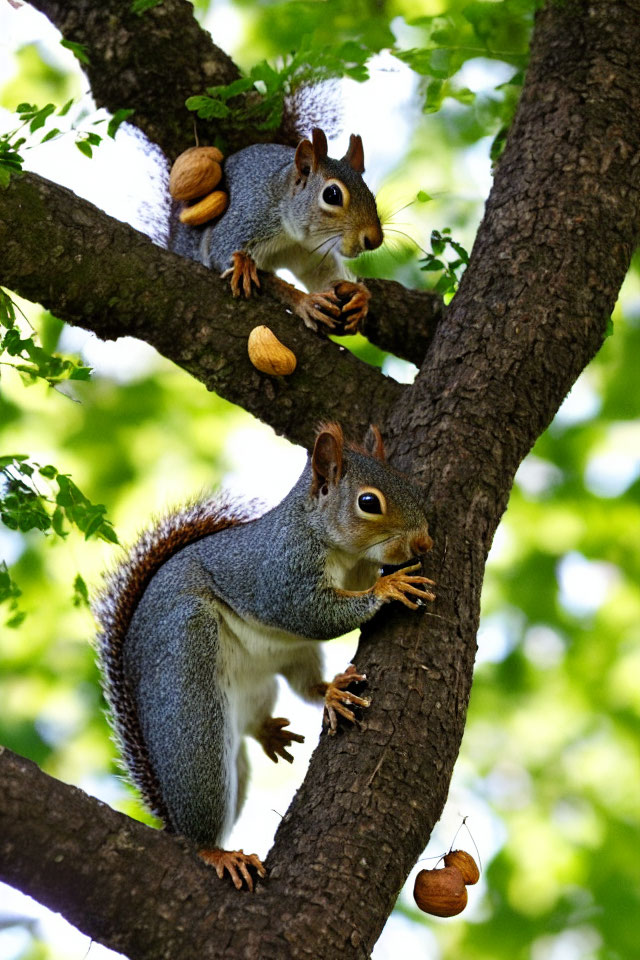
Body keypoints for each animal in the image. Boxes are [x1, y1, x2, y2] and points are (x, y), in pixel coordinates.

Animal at [94, 424, 436, 888]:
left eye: (413, 485)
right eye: (369, 503)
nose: (425, 541)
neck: (343, 553)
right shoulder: (280, 573)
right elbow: (311, 613)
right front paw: (389, 587)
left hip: (281, 666)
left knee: (301, 689)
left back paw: (323, 699)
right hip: (190, 678)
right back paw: (216, 852)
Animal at [171, 125, 384, 334]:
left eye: (370, 194)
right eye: (332, 195)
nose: (374, 240)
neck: (291, 237)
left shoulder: (310, 253)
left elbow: (318, 274)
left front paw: (359, 294)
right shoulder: (246, 219)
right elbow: (226, 255)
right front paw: (304, 301)